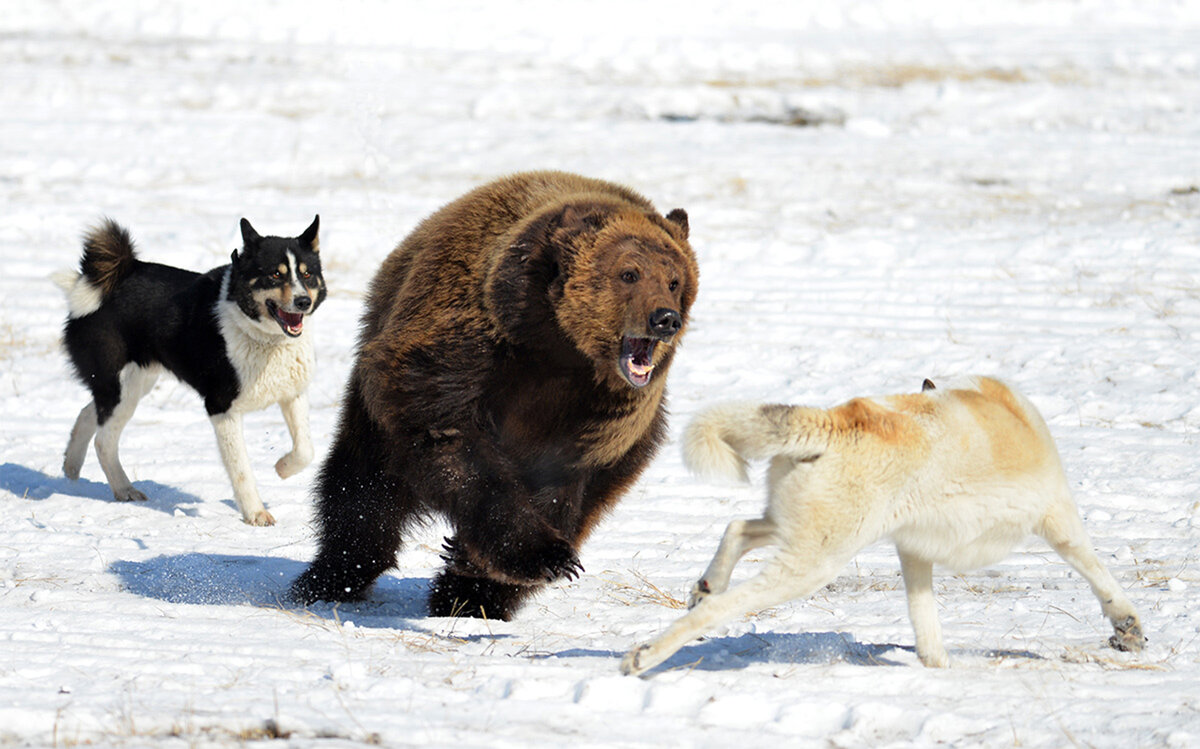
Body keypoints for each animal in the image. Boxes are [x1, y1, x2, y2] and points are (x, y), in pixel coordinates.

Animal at [54, 213, 326, 523]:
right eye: (276, 275)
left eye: (307, 274)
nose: (303, 301)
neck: (261, 335)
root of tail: (104, 280)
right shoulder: (221, 408)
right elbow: (241, 470)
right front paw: (256, 513)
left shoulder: (293, 395)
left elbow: (305, 450)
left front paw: (282, 468)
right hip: (121, 387)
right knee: (104, 440)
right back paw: (125, 490)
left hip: (132, 383)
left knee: (88, 413)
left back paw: (72, 467)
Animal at [290, 172, 700, 619]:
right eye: (629, 273)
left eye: (674, 280)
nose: (664, 318)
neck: (559, 345)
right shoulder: (468, 345)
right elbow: (453, 440)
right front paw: (540, 554)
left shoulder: (601, 419)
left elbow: (563, 484)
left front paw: (478, 567)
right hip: (376, 399)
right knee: (363, 486)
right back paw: (330, 577)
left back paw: (469, 598)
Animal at [624, 376, 1147, 676]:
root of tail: (834, 420)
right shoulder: (1058, 517)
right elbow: (1099, 573)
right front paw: (1127, 628)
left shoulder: (913, 550)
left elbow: (925, 623)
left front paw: (937, 667)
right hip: (815, 562)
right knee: (718, 608)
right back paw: (645, 654)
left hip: (807, 532)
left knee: (736, 528)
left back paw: (706, 586)